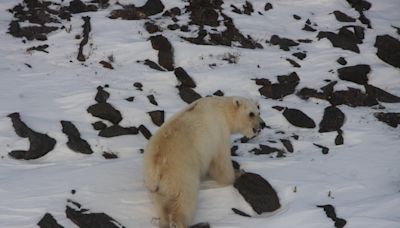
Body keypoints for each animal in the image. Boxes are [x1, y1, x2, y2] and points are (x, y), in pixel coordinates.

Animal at [144, 95, 266, 227]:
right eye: (251, 114)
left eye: (259, 112)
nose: (263, 124)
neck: (223, 110)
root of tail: (157, 164)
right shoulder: (219, 133)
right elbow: (221, 160)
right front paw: (237, 173)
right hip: (180, 173)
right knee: (184, 198)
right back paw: (180, 222)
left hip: (154, 183)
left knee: (160, 200)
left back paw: (162, 221)